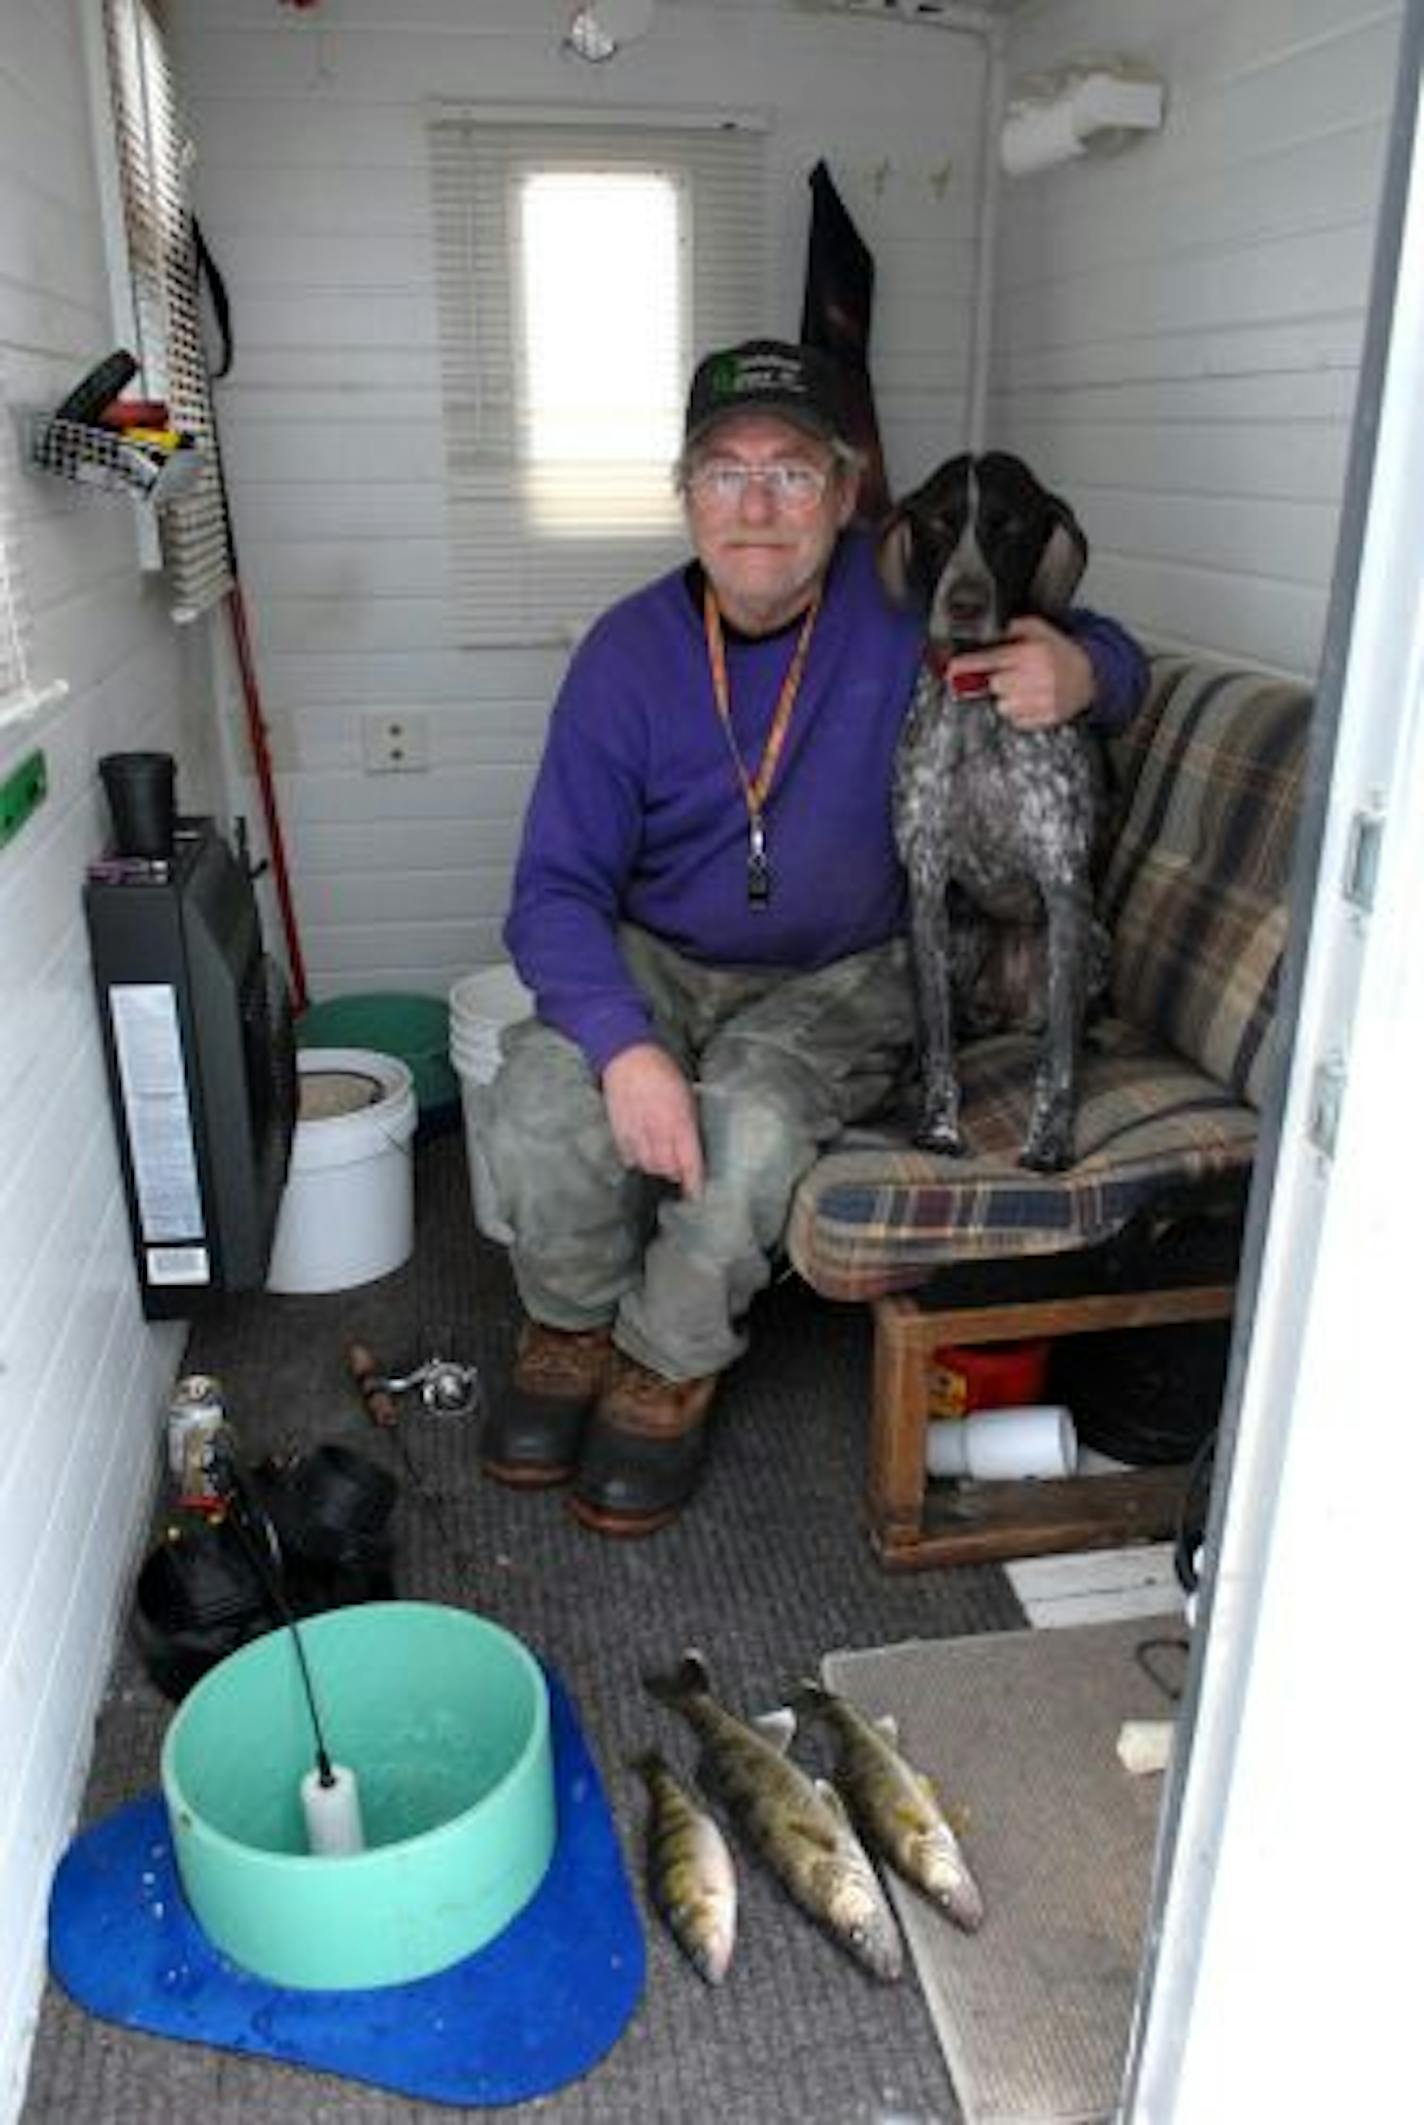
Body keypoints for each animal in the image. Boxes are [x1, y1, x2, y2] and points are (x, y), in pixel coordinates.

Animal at [879, 452, 1113, 1181]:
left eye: (1010, 526)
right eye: (937, 521)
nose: (963, 602)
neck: (982, 696)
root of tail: (1007, 1008)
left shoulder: (1065, 889)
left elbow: (1058, 1060)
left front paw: (1049, 1143)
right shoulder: (926, 891)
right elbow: (938, 1044)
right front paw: (939, 1127)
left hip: (1092, 946)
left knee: (1064, 1030)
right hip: (959, 937)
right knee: (949, 1028)